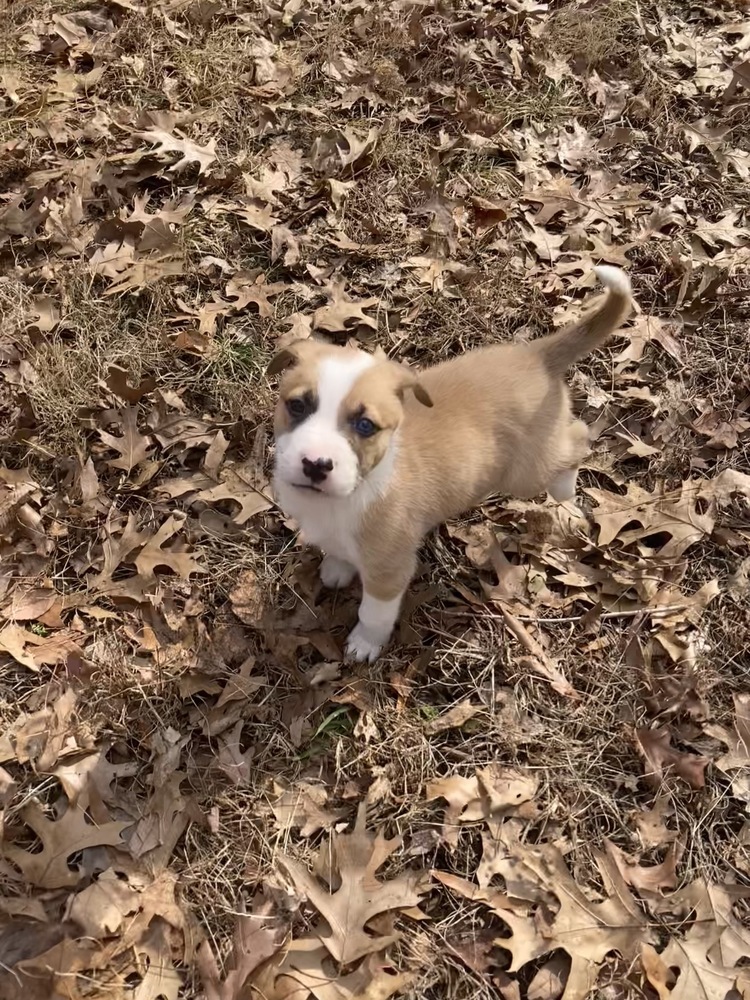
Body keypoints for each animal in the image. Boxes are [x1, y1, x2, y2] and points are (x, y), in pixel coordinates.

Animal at [270, 264, 636, 664]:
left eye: (365, 426)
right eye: (297, 405)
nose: (316, 464)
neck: (355, 489)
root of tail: (536, 355)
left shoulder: (390, 570)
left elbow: (373, 613)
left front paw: (365, 644)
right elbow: (337, 550)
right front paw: (338, 568)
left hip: (526, 473)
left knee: (578, 438)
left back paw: (566, 493)